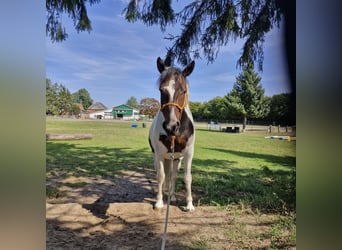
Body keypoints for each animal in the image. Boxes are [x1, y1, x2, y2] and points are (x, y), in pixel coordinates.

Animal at [149, 57, 195, 212]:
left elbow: (187, 178)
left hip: (176, 159)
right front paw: (159, 202)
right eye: (161, 89)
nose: (171, 126)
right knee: (163, 175)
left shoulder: (188, 154)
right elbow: (160, 177)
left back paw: (172, 196)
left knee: (173, 176)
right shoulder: (159, 154)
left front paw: (189, 204)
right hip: (160, 156)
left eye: (184, 91)